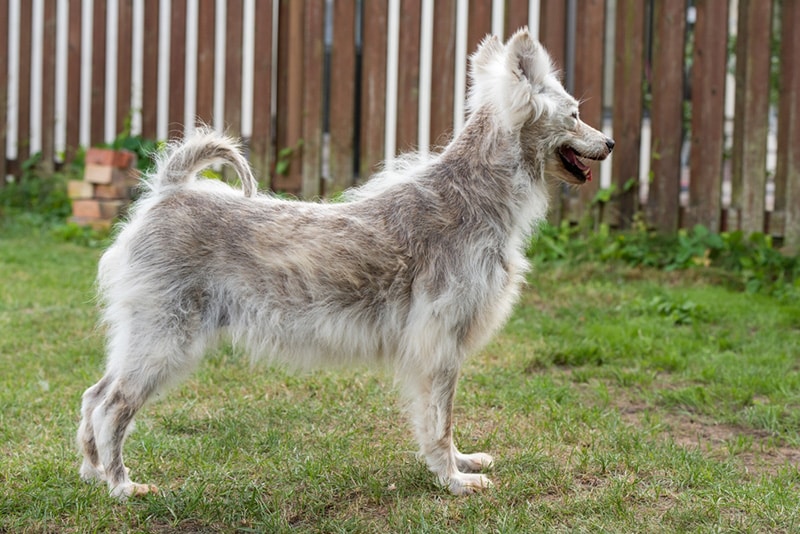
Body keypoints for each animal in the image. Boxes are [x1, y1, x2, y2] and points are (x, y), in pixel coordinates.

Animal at [78, 27, 612, 500]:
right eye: (575, 114)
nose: (608, 143)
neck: (471, 197)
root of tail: (169, 190)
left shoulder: (442, 351)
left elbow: (440, 422)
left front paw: (461, 463)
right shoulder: (438, 347)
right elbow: (439, 421)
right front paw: (454, 481)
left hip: (141, 338)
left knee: (93, 396)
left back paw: (92, 472)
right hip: (164, 340)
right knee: (114, 406)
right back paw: (122, 486)